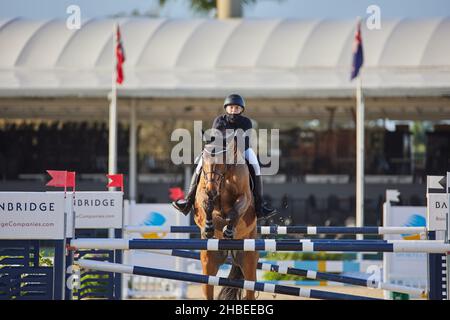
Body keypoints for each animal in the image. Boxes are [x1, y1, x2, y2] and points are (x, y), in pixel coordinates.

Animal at [192, 132, 256, 300]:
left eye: (222, 161)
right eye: (204, 159)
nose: (211, 190)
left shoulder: (244, 197)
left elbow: (234, 212)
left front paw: (228, 231)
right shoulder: (202, 194)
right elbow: (207, 206)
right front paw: (208, 228)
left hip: (249, 261)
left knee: (250, 291)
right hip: (208, 264)